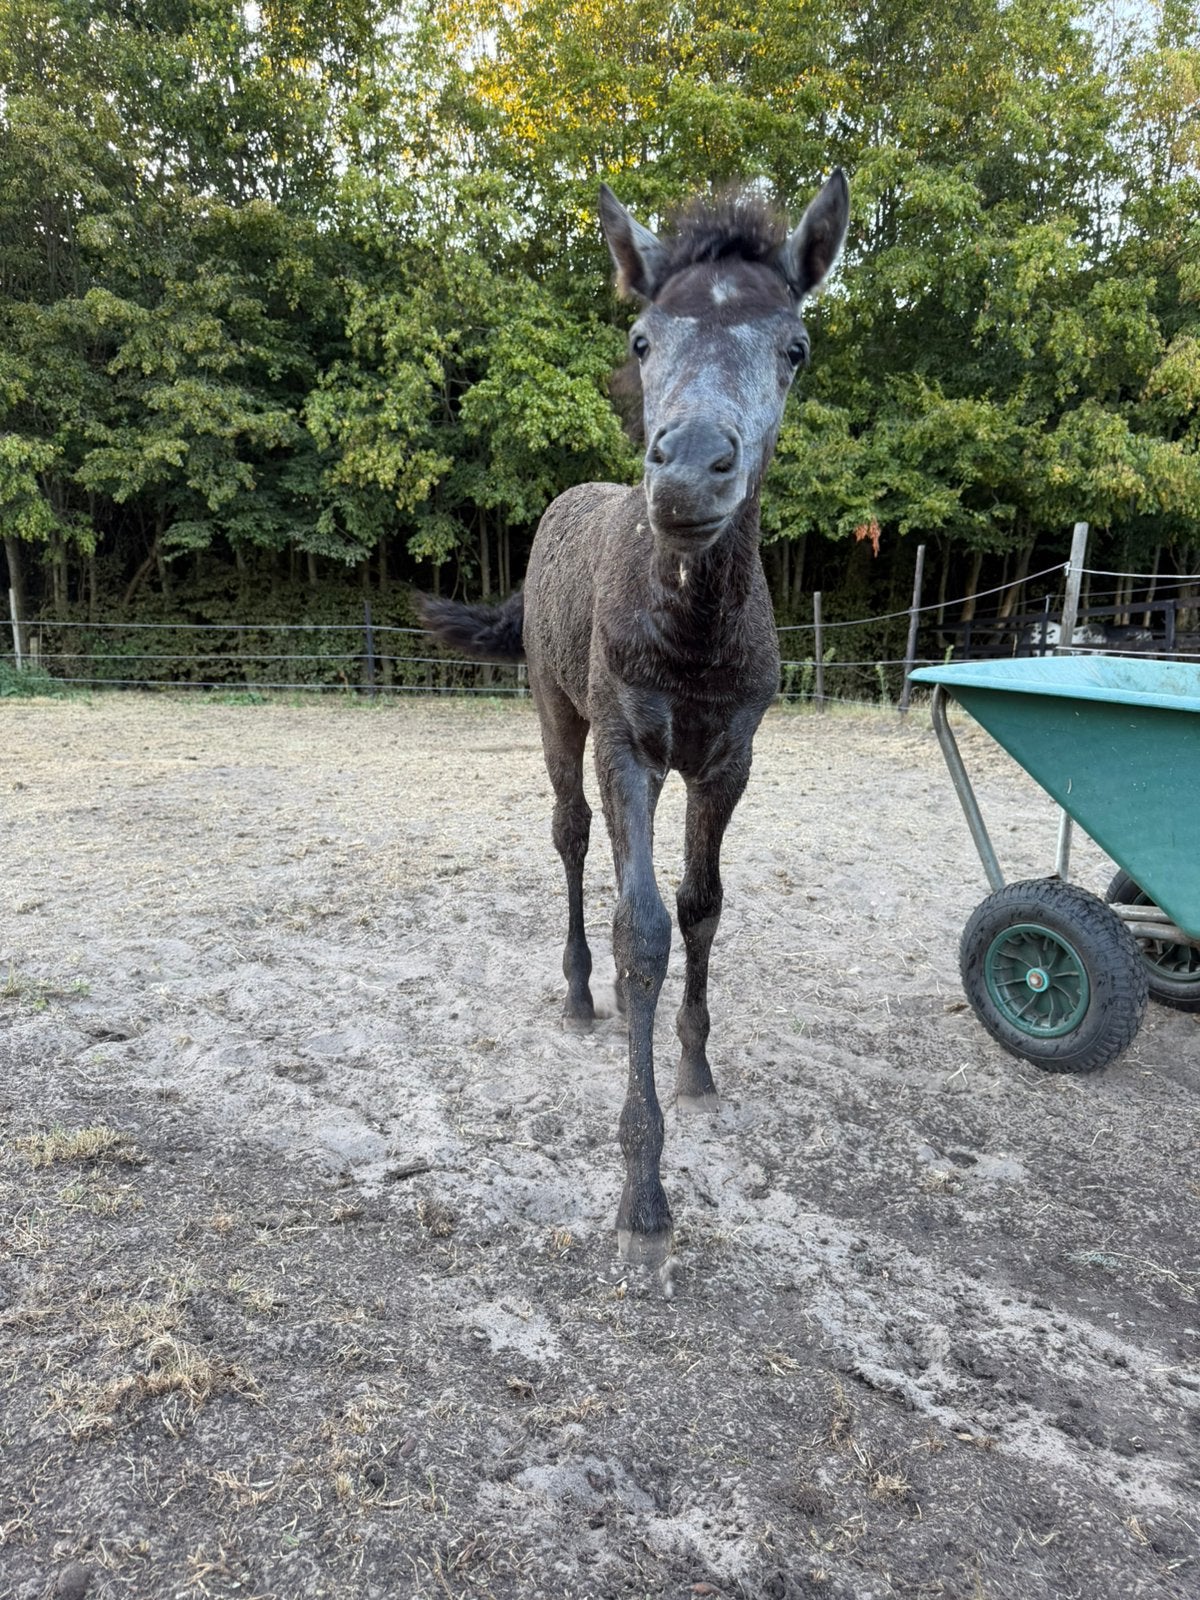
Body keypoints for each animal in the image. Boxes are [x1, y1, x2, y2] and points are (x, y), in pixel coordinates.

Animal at [420, 174, 850, 1275]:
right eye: (644, 337)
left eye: (795, 346)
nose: (691, 470)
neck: (690, 629)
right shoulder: (627, 748)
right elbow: (641, 928)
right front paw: (644, 1185)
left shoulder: (727, 762)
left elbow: (701, 905)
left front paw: (695, 1061)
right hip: (555, 715)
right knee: (571, 839)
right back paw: (581, 996)